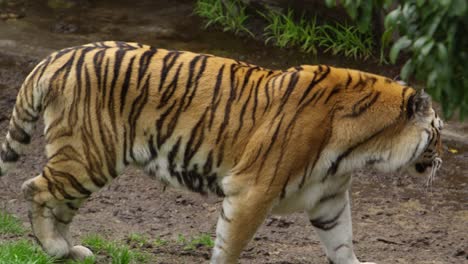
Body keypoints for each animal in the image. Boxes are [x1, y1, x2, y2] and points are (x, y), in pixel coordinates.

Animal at [0, 41, 442, 264]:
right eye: (438, 133)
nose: (440, 160)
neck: (360, 150)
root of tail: (59, 55)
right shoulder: (252, 191)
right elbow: (230, 245)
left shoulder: (329, 199)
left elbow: (343, 244)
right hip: (89, 156)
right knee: (33, 188)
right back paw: (54, 248)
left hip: (87, 162)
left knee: (59, 203)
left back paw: (69, 250)